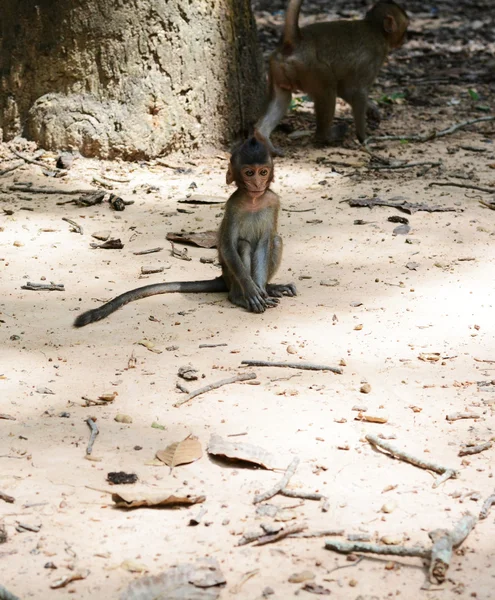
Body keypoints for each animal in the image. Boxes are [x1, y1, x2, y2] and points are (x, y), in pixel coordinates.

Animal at [73, 135, 296, 328]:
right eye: (249, 173)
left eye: (263, 172)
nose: (257, 184)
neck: (253, 200)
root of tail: (222, 279)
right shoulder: (233, 205)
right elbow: (228, 246)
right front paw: (251, 291)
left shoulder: (273, 202)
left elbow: (265, 242)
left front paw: (261, 290)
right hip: (229, 275)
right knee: (243, 245)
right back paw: (239, 297)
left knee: (276, 240)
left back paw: (269, 287)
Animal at [258, 0, 408, 155]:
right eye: (405, 29)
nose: (405, 38)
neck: (375, 29)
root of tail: (295, 42)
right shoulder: (375, 56)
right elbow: (357, 92)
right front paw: (363, 137)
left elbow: (344, 89)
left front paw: (371, 108)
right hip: (310, 68)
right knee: (327, 88)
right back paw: (326, 136)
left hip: (276, 65)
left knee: (284, 97)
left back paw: (262, 136)